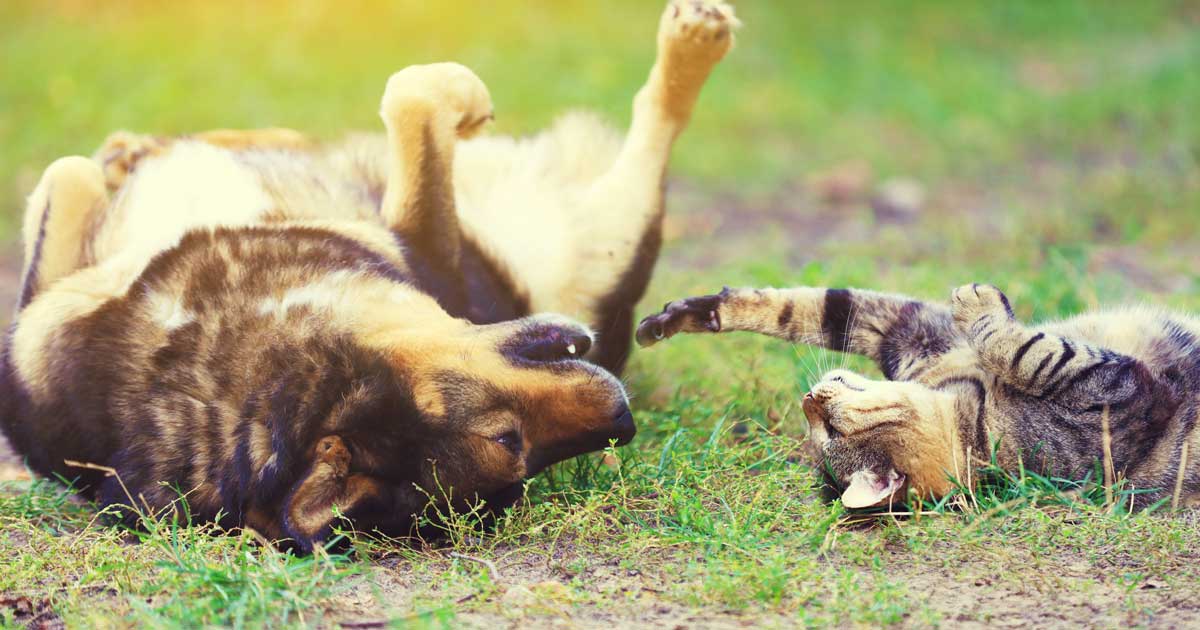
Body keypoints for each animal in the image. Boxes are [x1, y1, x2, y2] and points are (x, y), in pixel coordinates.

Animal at [0, 0, 739, 547]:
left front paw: (126, 159)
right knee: (656, 130)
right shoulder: (427, 251)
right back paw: (695, 40)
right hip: (613, 238)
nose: (623, 418)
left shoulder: (43, 319)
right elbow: (413, 96)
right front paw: (465, 98)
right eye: (513, 446)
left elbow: (67, 171)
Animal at [633, 282, 1195, 508]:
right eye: (823, 431)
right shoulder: (1123, 399)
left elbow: (810, 307)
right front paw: (982, 303)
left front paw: (685, 315)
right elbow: (1033, 351)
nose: (809, 397)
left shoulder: (911, 334)